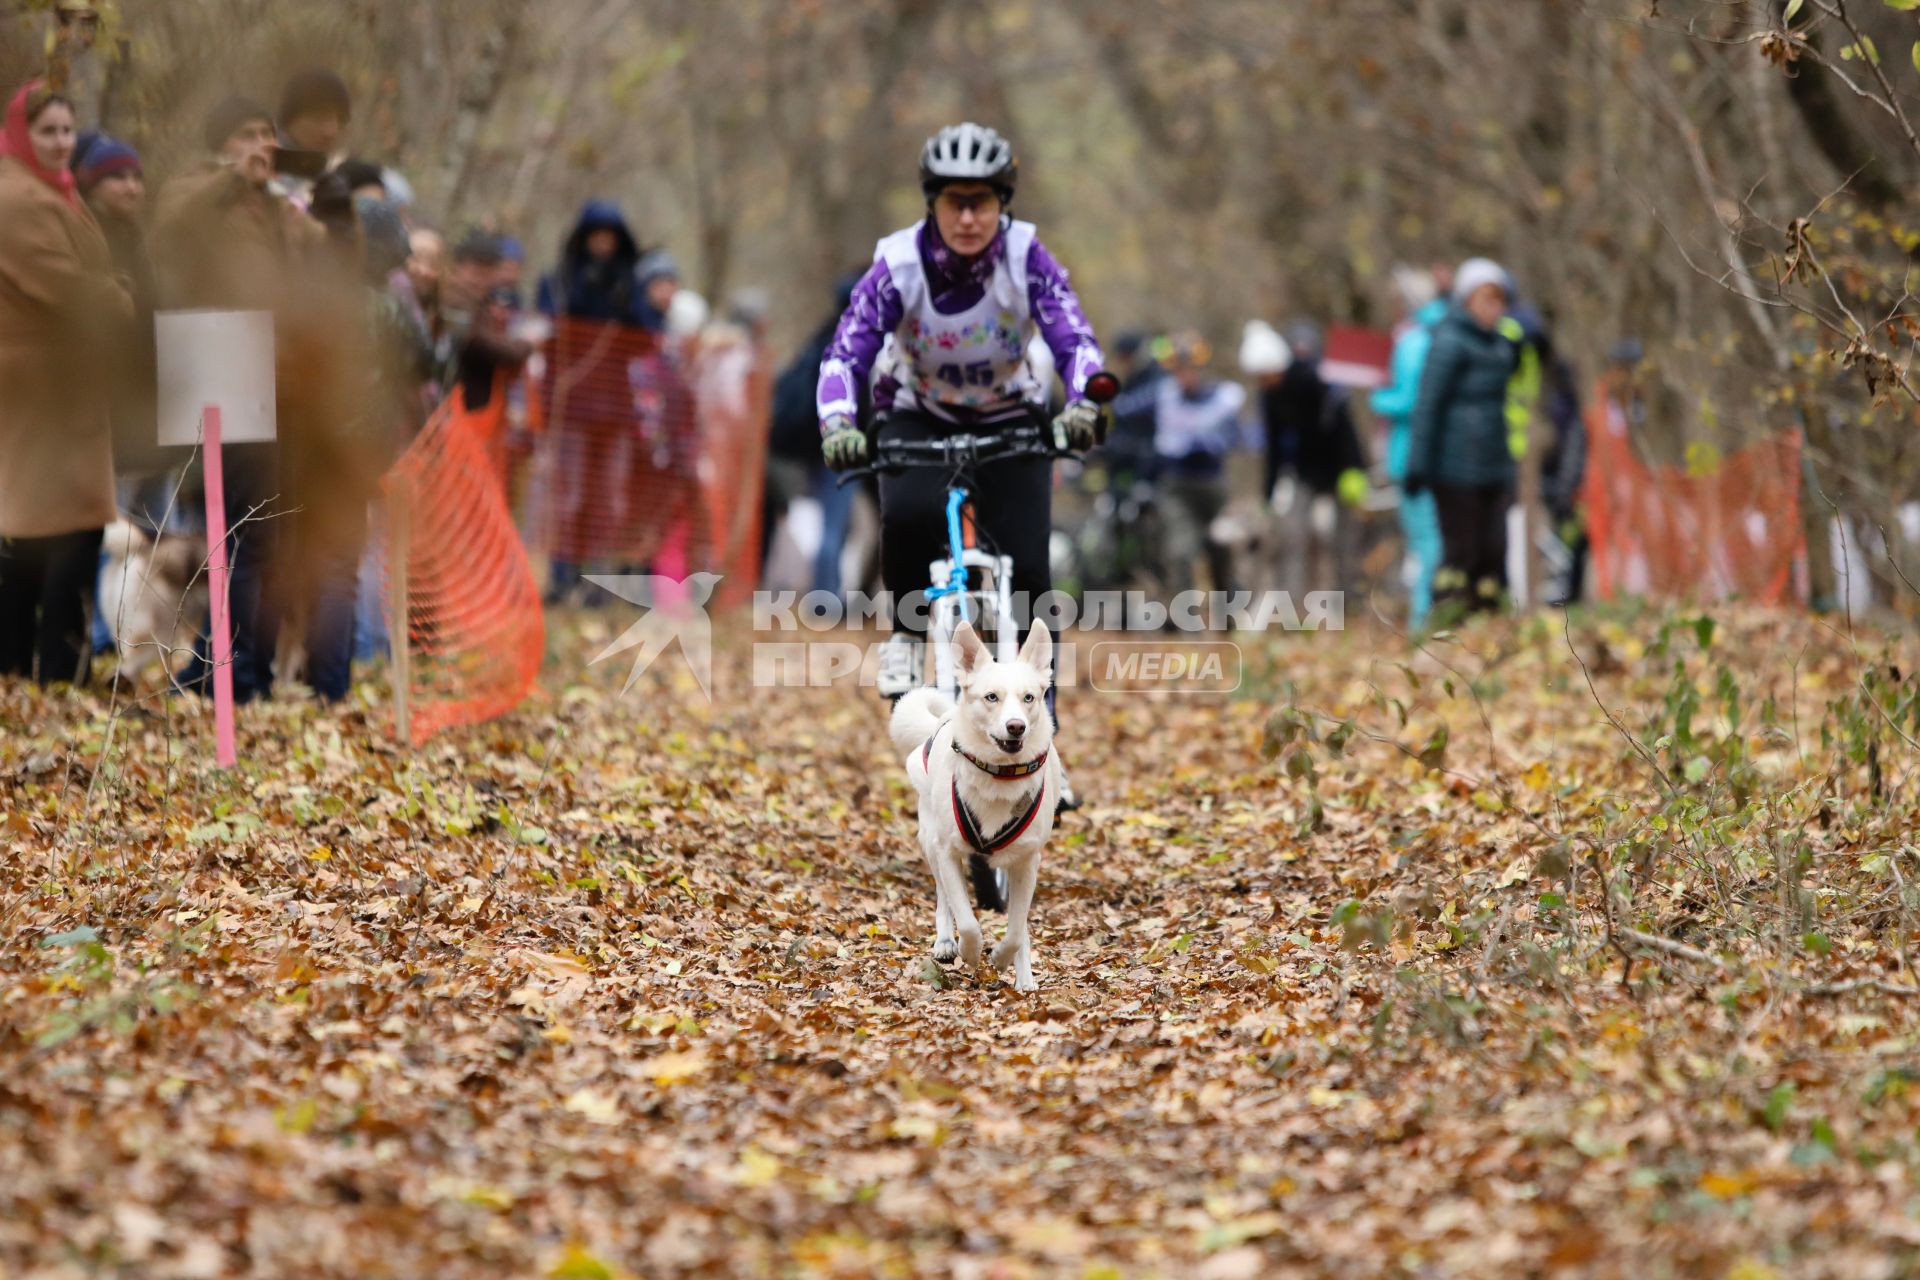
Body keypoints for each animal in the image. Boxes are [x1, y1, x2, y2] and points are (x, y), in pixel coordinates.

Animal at [887, 621, 1059, 990]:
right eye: (991, 697)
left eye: (1029, 697)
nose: (1016, 726)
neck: (1000, 776)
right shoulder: (948, 851)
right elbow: (965, 919)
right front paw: (970, 951)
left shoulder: (1027, 861)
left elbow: (1017, 929)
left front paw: (1006, 960)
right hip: (930, 840)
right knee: (943, 898)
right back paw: (945, 943)